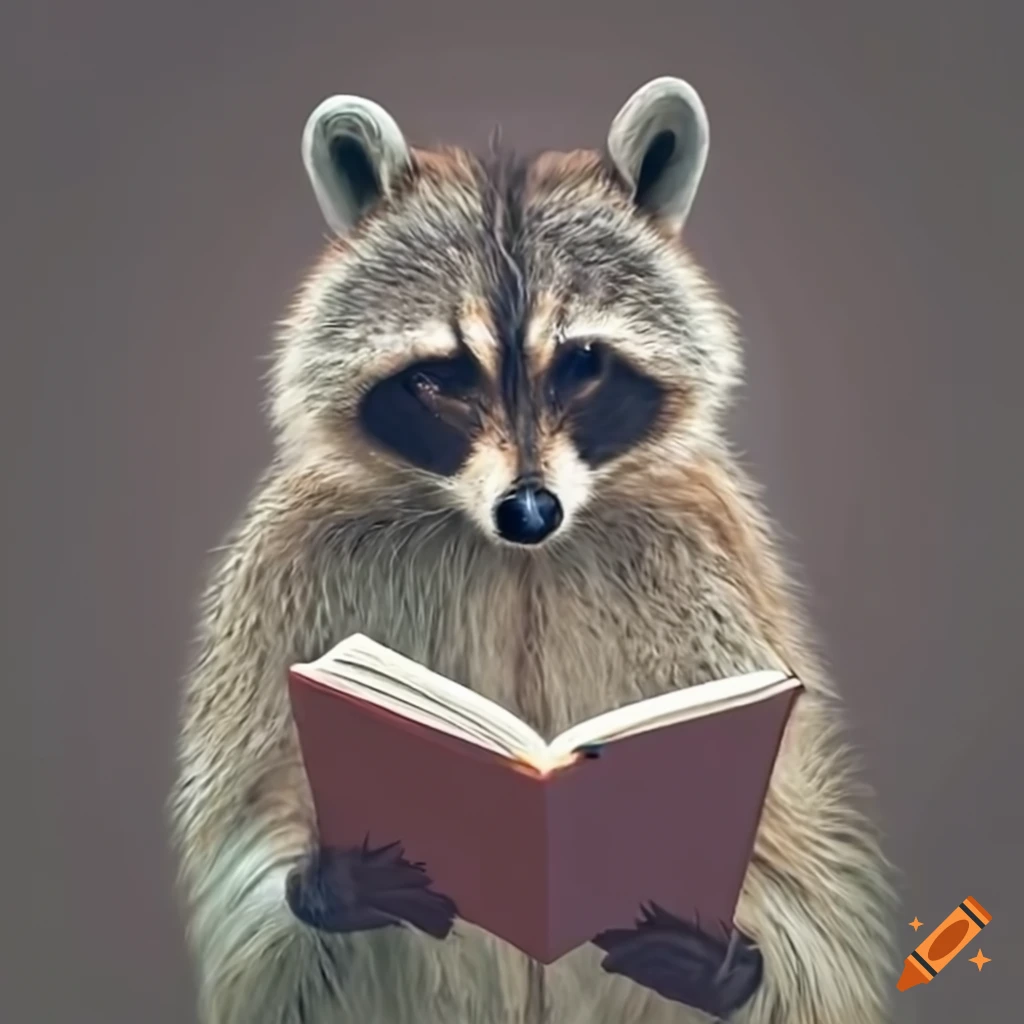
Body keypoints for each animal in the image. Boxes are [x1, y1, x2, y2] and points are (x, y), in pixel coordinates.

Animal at [169, 77, 896, 1024]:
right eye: (441, 377)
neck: (517, 560)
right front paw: (327, 882)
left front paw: (725, 960)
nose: (529, 511)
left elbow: (802, 863)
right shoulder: (291, 567)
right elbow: (241, 838)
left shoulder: (710, 563)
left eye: (581, 363)